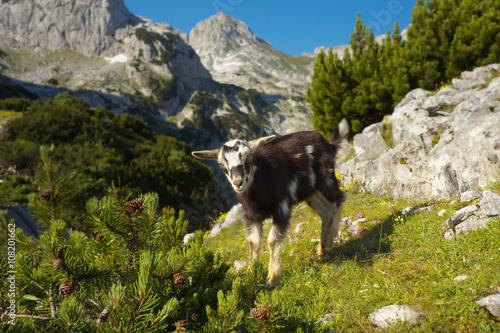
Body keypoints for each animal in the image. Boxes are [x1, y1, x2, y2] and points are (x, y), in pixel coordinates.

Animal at [191, 120, 348, 288]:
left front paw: (272, 277)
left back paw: (329, 239)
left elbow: (272, 240)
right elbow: (254, 243)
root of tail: (329, 144)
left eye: (247, 158)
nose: (238, 182)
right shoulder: (251, 215)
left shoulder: (282, 206)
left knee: (339, 198)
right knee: (326, 211)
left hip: (326, 178)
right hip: (311, 192)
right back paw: (321, 248)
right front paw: (252, 274)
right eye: (221, 164)